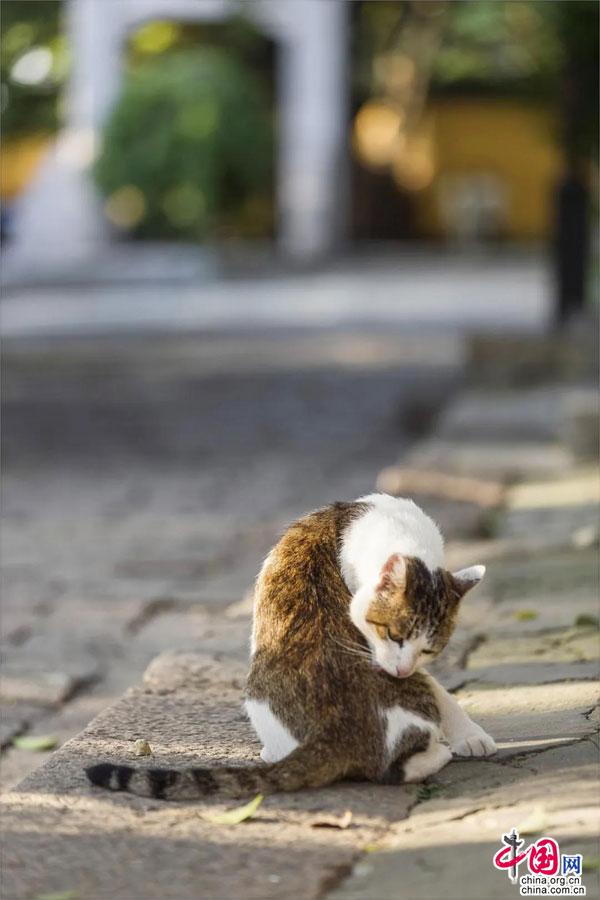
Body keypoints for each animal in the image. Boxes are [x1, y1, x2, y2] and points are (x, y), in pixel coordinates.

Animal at [85, 496, 496, 800]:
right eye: (393, 635)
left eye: (429, 649)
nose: (400, 671)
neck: (403, 533)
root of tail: (339, 730)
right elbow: (436, 687)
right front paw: (467, 732)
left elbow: (436, 685)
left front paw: (468, 733)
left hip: (256, 689)